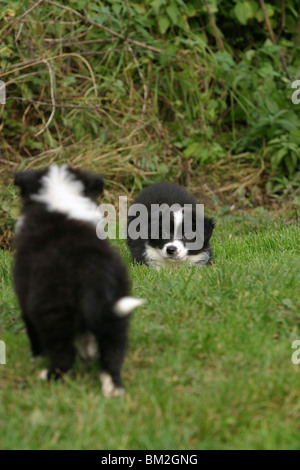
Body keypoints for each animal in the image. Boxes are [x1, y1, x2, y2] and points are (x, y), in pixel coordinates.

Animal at [13, 165, 144, 396]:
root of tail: (91, 272)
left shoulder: (25, 294)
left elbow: (31, 330)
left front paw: (35, 357)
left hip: (53, 312)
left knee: (63, 355)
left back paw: (49, 376)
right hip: (116, 311)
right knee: (112, 351)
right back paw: (113, 388)